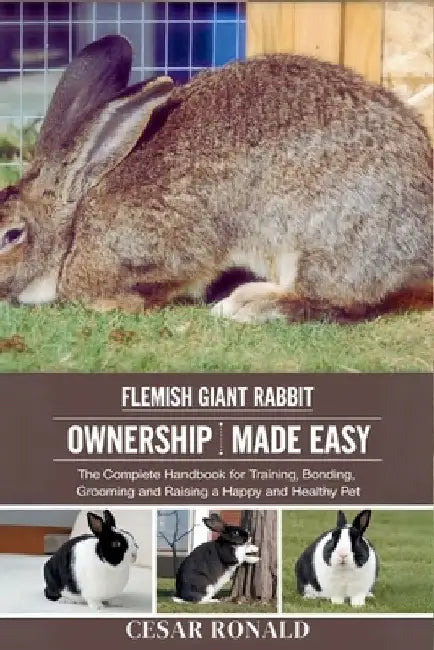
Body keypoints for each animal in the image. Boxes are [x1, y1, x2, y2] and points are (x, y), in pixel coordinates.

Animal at [0, 35, 432, 323]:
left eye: (11, 235)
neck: (74, 227)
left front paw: (118, 304)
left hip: (319, 239)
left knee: (334, 299)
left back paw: (245, 305)